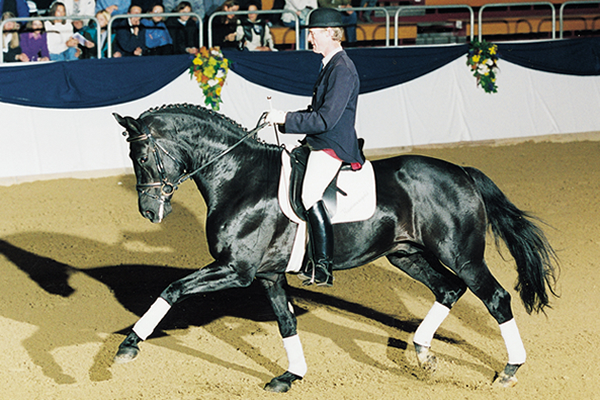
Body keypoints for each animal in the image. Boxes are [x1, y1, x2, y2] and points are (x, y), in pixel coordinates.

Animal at [112, 104, 556, 394]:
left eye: (142, 155)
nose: (149, 211)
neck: (240, 177)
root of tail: (461, 172)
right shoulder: (268, 275)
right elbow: (286, 322)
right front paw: (290, 376)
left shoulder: (235, 269)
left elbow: (172, 289)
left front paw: (127, 346)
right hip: (407, 254)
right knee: (448, 289)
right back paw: (422, 353)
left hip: (462, 255)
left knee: (495, 298)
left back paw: (509, 370)